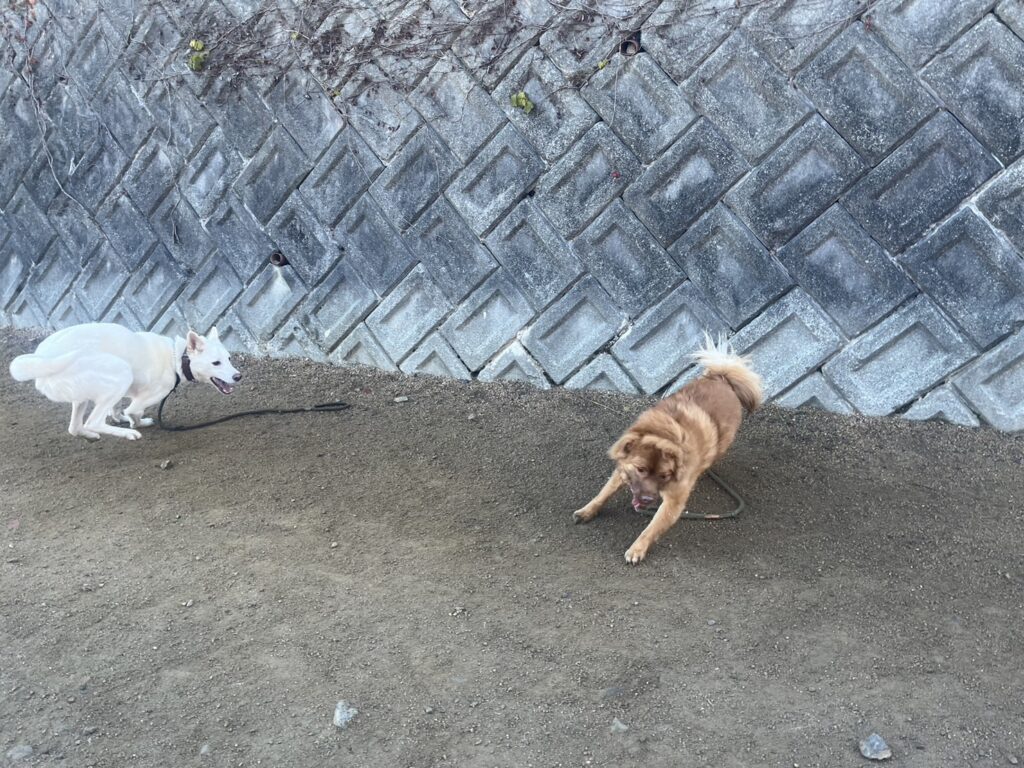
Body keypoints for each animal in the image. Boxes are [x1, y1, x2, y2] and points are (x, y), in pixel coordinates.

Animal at [9, 323, 241, 441]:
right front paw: (135, 423)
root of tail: (42, 357)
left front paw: (118, 417)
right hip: (121, 373)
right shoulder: (144, 398)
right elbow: (134, 412)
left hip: (82, 394)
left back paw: (91, 435)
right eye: (216, 363)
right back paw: (128, 433)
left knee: (74, 427)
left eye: (229, 359)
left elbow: (117, 408)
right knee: (93, 421)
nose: (238, 376)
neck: (177, 357)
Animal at [573, 335, 762, 564]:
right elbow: (603, 493)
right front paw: (587, 510)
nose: (646, 500)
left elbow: (651, 528)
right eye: (641, 469)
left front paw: (637, 549)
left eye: (665, 475)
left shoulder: (674, 502)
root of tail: (721, 378)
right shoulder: (622, 470)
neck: (664, 437)